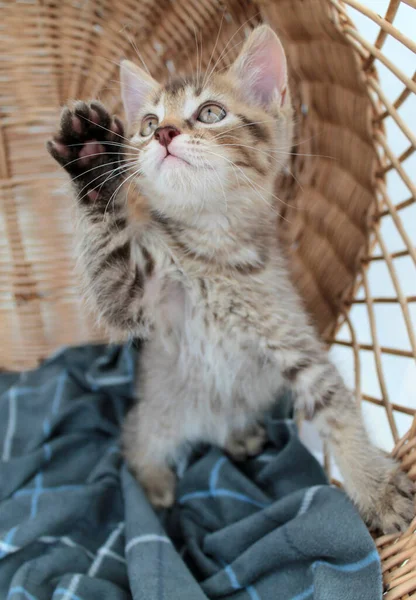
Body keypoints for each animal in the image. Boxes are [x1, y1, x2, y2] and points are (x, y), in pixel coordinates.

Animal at [48, 25, 412, 532]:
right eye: (148, 123)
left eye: (210, 113)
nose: (164, 133)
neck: (213, 252)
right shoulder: (135, 297)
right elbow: (109, 264)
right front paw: (92, 157)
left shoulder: (294, 341)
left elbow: (337, 410)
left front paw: (374, 486)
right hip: (161, 414)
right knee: (136, 440)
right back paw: (154, 487)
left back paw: (238, 437)